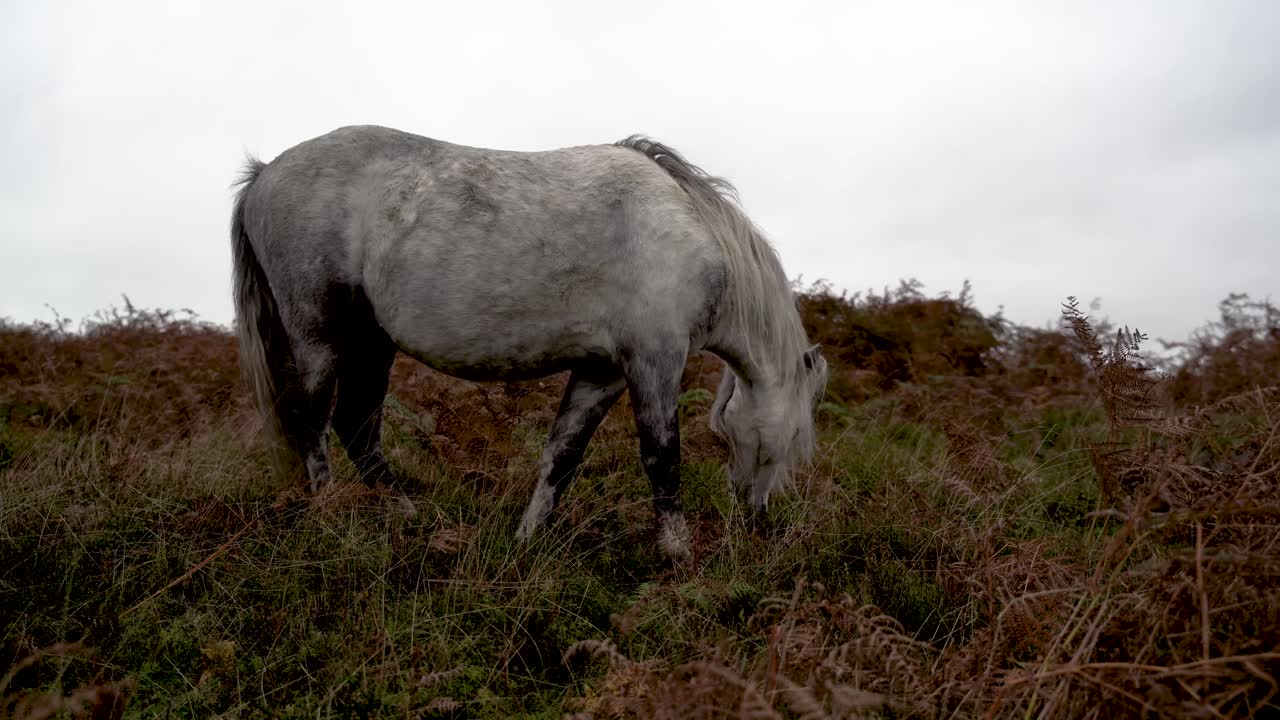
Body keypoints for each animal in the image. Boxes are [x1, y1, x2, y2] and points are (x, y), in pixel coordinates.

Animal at [229, 125, 827, 558]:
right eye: (798, 433)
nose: (757, 518)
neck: (691, 228)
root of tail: (264, 176)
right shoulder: (654, 359)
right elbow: (662, 454)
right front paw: (676, 553)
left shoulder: (603, 371)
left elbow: (562, 455)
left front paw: (527, 539)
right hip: (321, 336)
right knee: (313, 421)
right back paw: (330, 511)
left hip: (372, 343)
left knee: (357, 426)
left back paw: (406, 515)